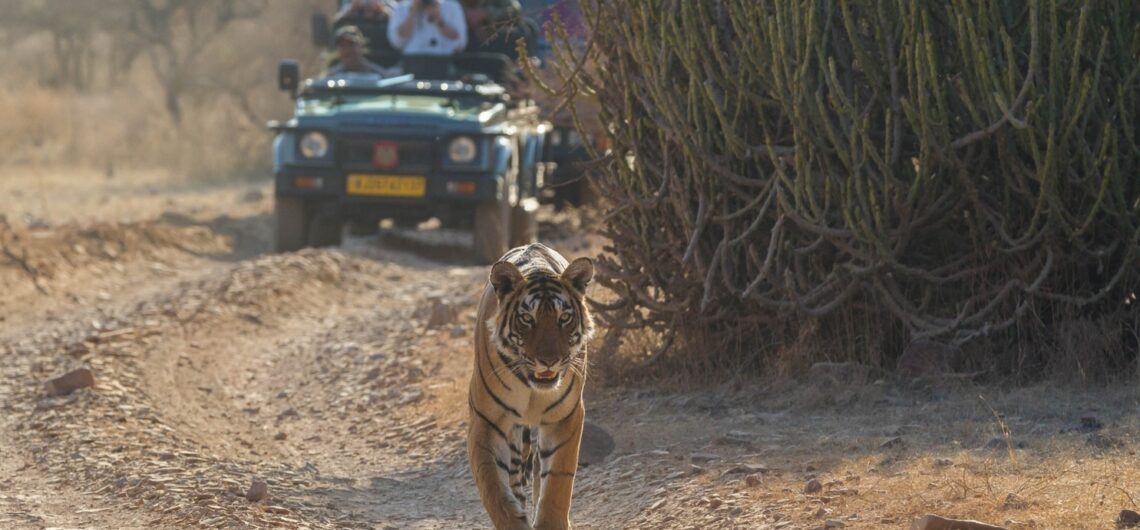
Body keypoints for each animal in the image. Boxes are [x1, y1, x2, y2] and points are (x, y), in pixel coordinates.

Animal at [469, 241, 601, 526]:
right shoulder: (487, 421)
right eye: (527, 319)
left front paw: (552, 523)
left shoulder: (565, 418)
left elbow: (557, 485)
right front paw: (512, 519)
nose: (549, 361)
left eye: (564, 318)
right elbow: (492, 485)